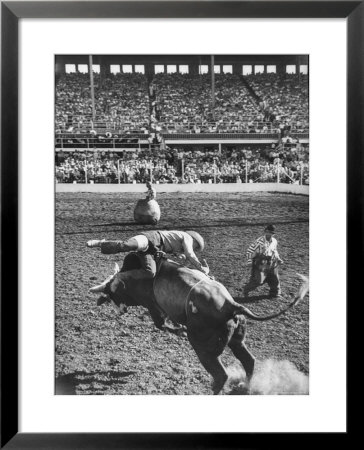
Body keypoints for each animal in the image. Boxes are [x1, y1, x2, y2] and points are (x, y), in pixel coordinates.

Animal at [90, 251, 308, 396]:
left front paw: (179, 330)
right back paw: (245, 386)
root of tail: (231, 305)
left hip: (203, 348)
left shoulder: (152, 306)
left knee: (220, 375)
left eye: (112, 294)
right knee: (248, 361)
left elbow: (161, 324)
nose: (119, 310)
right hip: (237, 340)